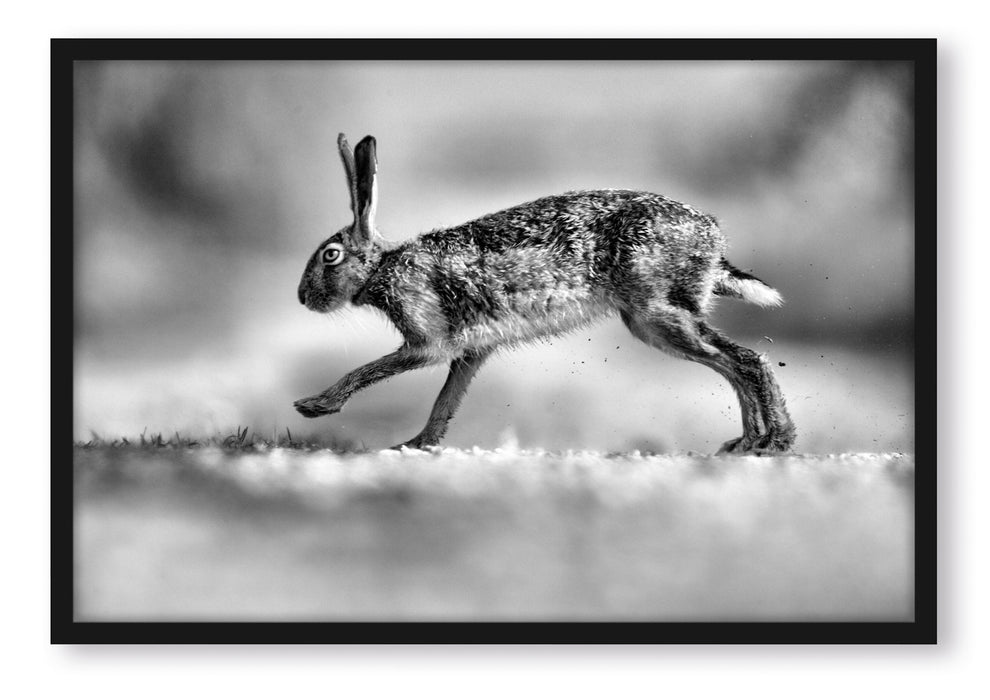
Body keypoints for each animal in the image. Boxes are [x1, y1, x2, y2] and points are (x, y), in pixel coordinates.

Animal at [295, 133, 796, 454]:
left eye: (330, 256)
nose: (302, 299)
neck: (383, 267)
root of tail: (713, 237)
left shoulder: (428, 342)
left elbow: (371, 369)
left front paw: (314, 406)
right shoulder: (470, 351)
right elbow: (445, 401)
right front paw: (416, 445)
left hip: (656, 313)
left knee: (746, 361)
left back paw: (774, 442)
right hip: (654, 319)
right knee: (732, 364)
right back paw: (746, 442)